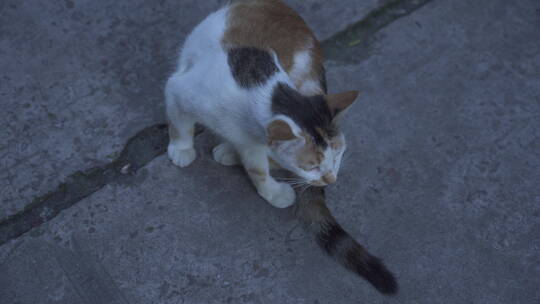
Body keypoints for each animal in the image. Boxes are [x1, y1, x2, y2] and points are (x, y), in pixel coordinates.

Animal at [165, 0, 396, 294]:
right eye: (312, 165)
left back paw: (228, 151)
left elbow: (258, 168)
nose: (331, 180)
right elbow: (180, 123)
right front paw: (181, 149)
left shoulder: (255, 142)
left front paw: (271, 191)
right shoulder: (180, 89)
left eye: (337, 157)